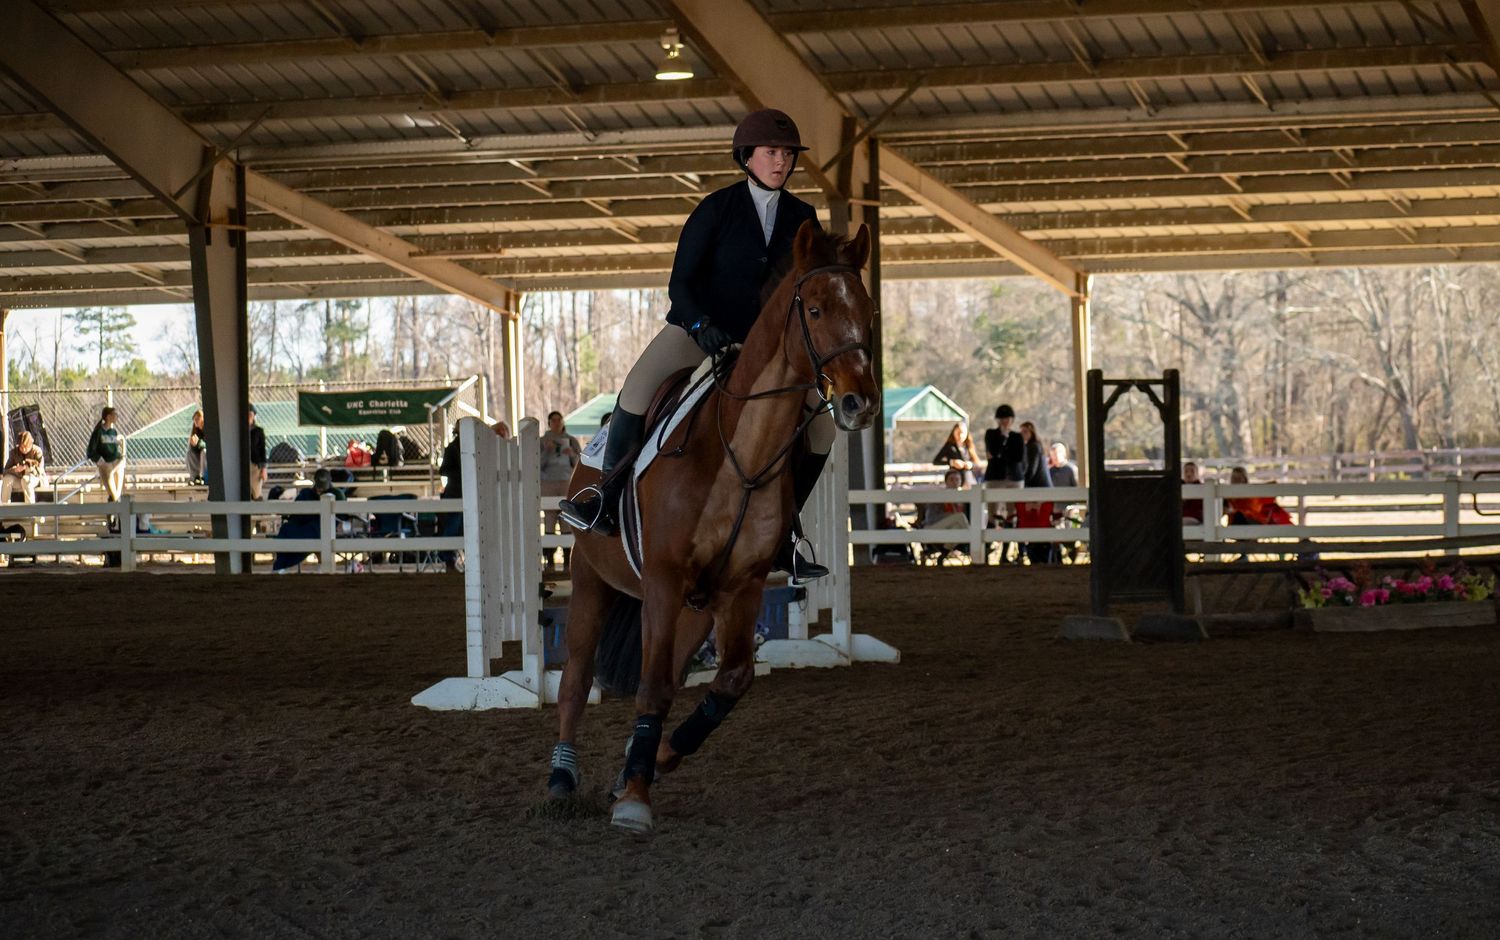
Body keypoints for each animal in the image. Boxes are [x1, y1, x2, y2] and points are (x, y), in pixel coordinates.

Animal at [546, 220, 879, 835]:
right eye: (815, 309)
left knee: (675, 672)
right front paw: (634, 800)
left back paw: (631, 765)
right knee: (576, 679)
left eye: (867, 310)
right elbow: (651, 686)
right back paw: (561, 781)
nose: (859, 403)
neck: (740, 454)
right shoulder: (662, 578)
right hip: (591, 579)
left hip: (695, 608)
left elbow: (728, 681)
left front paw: (649, 765)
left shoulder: (739, 588)